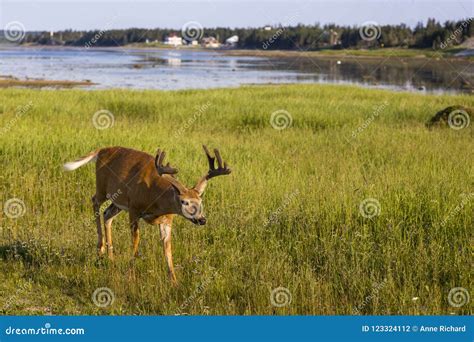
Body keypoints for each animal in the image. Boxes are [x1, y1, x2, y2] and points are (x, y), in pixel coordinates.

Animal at [63, 146, 231, 284]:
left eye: (200, 200)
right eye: (184, 202)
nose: (202, 219)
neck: (155, 198)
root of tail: (101, 150)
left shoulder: (167, 220)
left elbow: (167, 248)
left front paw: (174, 281)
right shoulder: (134, 209)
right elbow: (136, 241)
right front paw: (130, 274)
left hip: (119, 201)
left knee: (107, 214)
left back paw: (110, 257)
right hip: (103, 188)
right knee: (94, 202)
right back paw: (100, 249)